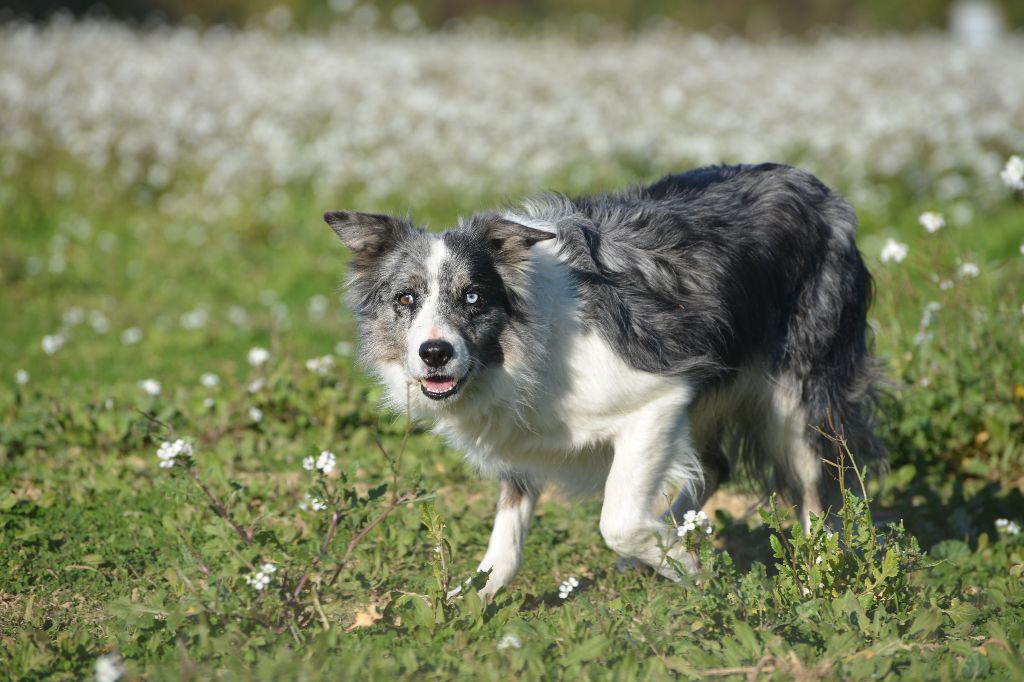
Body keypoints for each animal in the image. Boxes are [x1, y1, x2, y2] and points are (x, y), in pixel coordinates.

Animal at [323, 161, 884, 598]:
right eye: (405, 299)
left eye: (473, 297)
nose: (435, 353)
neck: (525, 345)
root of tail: (820, 190)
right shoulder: (520, 436)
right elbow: (506, 537)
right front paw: (473, 600)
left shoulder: (658, 398)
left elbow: (618, 522)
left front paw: (694, 572)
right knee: (716, 466)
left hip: (797, 398)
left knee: (819, 487)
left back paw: (815, 577)